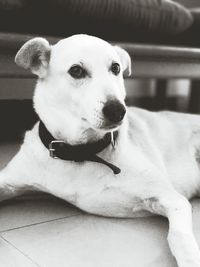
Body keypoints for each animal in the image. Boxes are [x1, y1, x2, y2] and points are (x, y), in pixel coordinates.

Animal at [0, 34, 200, 266]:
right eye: (76, 70)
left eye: (116, 68)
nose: (118, 110)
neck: (80, 153)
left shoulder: (172, 199)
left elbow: (178, 236)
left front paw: (190, 258)